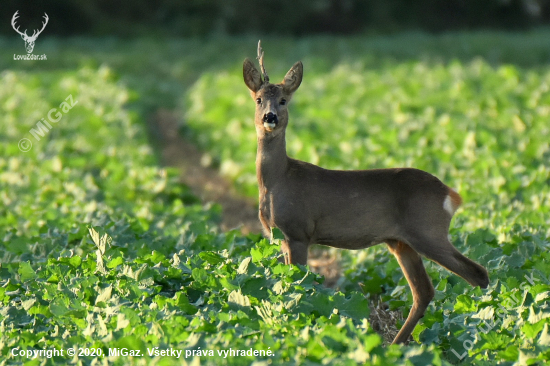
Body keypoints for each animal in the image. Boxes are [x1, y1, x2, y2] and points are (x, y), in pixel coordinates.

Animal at [244, 41, 490, 344]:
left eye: (283, 100)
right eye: (258, 100)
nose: (270, 117)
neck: (277, 180)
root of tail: (450, 194)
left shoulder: (298, 231)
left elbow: (297, 284)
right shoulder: (278, 236)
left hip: (428, 231)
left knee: (477, 273)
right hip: (401, 241)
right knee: (424, 290)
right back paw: (397, 344)